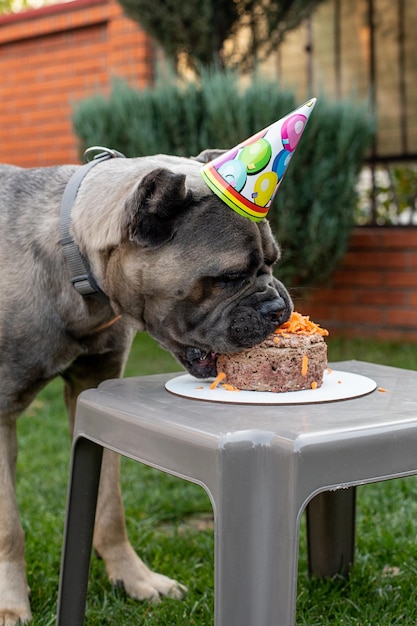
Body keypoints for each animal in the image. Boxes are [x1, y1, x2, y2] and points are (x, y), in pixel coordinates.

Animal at [0, 149, 290, 620]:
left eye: (274, 262)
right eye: (229, 277)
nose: (279, 308)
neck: (72, 263)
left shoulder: (93, 389)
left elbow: (110, 505)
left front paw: (132, 577)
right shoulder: (1, 416)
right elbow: (8, 524)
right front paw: (10, 603)